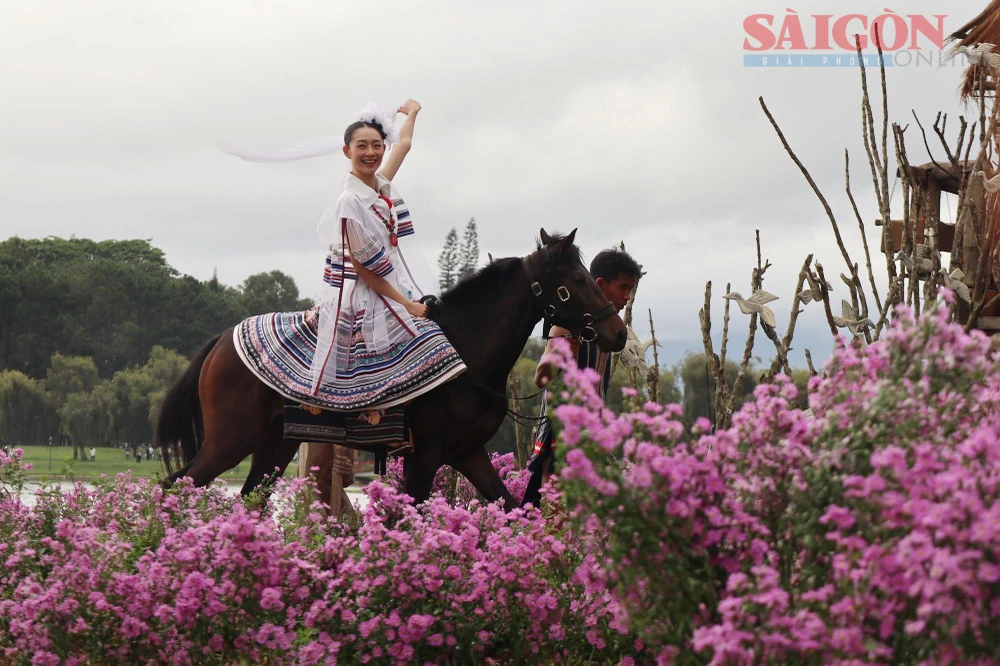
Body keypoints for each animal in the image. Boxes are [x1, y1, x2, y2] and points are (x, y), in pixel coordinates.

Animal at [154, 230, 624, 508]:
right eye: (577, 280)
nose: (617, 332)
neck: (467, 357)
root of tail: (221, 339)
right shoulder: (425, 455)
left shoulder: (467, 452)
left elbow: (511, 505)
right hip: (229, 441)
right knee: (173, 485)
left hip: (274, 445)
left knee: (250, 500)